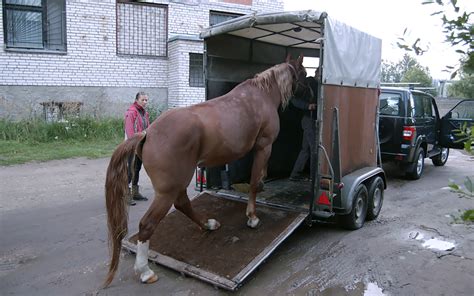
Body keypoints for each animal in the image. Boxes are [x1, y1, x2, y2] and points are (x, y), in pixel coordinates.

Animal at [103, 53, 308, 286]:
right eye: (305, 73)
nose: (311, 94)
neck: (262, 96)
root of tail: (147, 133)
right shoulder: (264, 146)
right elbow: (254, 181)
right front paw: (252, 217)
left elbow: (258, 176)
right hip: (167, 191)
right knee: (148, 224)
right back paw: (145, 271)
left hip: (178, 184)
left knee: (183, 204)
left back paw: (208, 225)